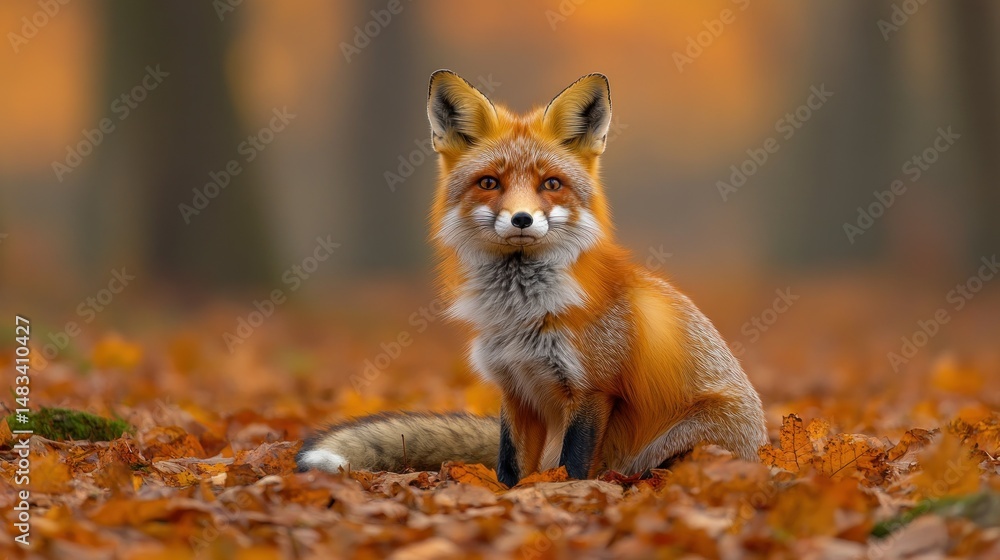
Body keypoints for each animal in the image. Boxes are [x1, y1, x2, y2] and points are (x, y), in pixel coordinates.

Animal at [297, 70, 768, 486]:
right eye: (490, 182)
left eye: (551, 184)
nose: (521, 219)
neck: (520, 314)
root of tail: (762, 446)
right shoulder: (515, 388)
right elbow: (510, 465)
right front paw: (510, 497)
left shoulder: (592, 390)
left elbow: (572, 465)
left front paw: (564, 496)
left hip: (689, 442)